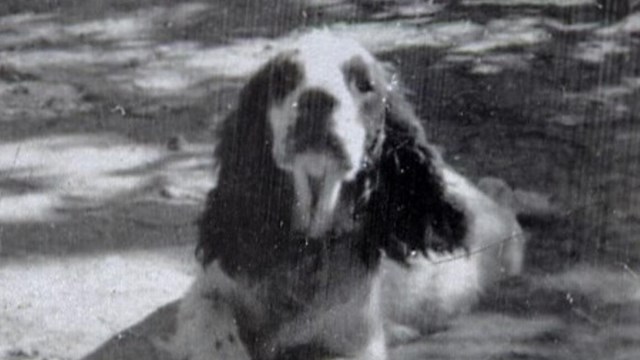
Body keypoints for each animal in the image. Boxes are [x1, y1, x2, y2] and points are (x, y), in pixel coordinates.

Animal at [170, 31, 524, 360]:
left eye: (364, 84)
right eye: (284, 78)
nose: (315, 100)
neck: (306, 249)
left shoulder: (355, 341)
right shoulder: (208, 290)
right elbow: (212, 324)